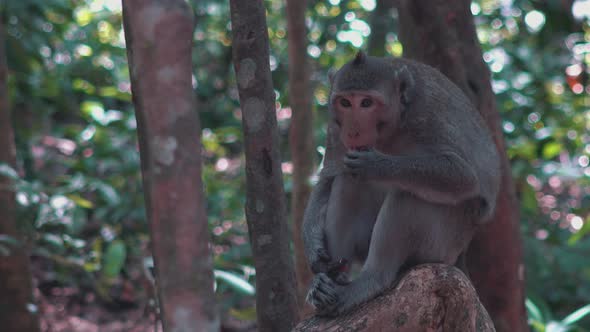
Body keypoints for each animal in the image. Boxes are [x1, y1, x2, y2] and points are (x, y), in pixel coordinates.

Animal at [302, 52, 502, 316]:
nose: (353, 132)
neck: (392, 127)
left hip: (441, 246)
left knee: (407, 194)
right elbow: (330, 176)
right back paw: (330, 282)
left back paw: (373, 279)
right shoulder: (336, 128)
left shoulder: (427, 116)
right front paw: (315, 254)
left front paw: (376, 165)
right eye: (345, 102)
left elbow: (464, 176)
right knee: (348, 182)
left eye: (366, 103)